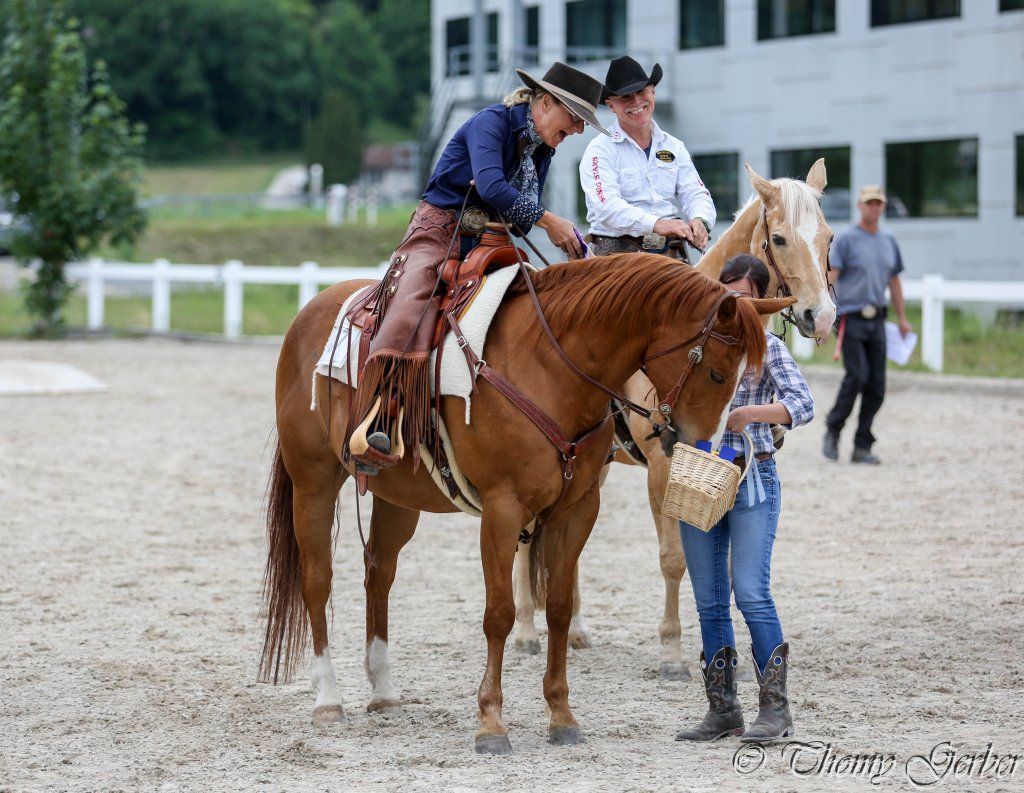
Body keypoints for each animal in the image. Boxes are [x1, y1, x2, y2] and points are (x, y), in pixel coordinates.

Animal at [260, 251, 794, 754]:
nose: (710, 448)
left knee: (378, 576)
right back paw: (328, 700)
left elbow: (558, 604)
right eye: (718, 373)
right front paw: (491, 723)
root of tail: (312, 310)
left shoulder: (577, 509)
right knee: (317, 582)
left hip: (397, 498)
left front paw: (562, 716)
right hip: (313, 481)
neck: (550, 366)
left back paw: (384, 691)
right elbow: (499, 613)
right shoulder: (502, 509)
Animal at [511, 160, 837, 682]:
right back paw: (524, 630)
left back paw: (577, 629)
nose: (821, 316)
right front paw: (670, 653)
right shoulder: (664, 468)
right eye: (780, 238)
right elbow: (672, 559)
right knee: (526, 543)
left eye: (827, 237)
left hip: (593, 466)